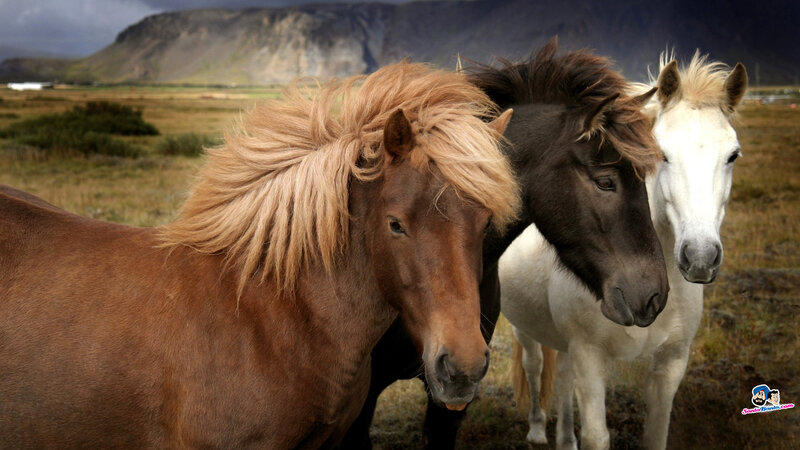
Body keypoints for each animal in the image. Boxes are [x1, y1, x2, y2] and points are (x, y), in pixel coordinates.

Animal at [501, 53, 748, 449]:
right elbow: (596, 436)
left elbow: (656, 434)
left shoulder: (671, 363)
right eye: (662, 154)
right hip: (524, 327)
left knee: (563, 377)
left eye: (733, 156)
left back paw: (564, 438)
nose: (700, 257)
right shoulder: (590, 357)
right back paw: (537, 431)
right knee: (535, 366)